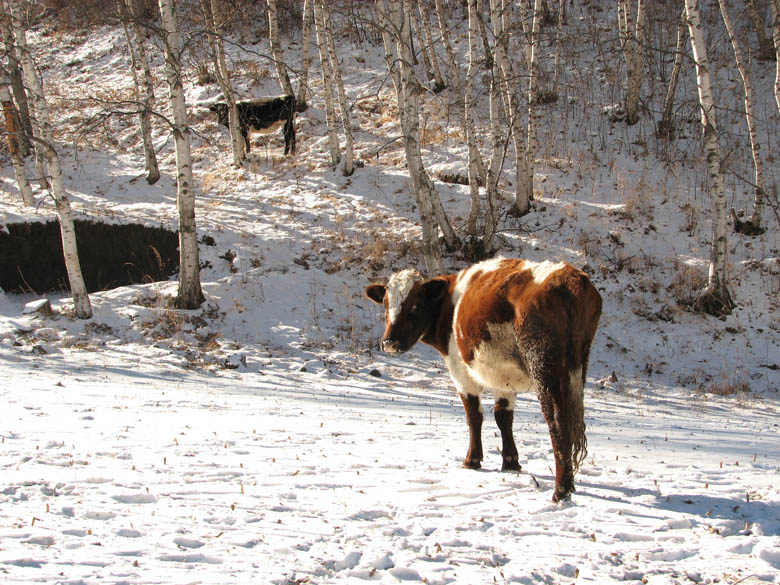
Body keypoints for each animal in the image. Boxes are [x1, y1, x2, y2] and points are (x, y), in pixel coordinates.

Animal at [368, 258, 604, 500]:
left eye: (415, 307)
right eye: (385, 305)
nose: (389, 343)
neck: (449, 307)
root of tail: (572, 277)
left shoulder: (460, 371)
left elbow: (474, 415)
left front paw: (472, 459)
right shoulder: (505, 377)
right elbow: (503, 416)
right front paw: (510, 462)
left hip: (545, 367)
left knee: (557, 421)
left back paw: (561, 489)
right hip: (577, 366)